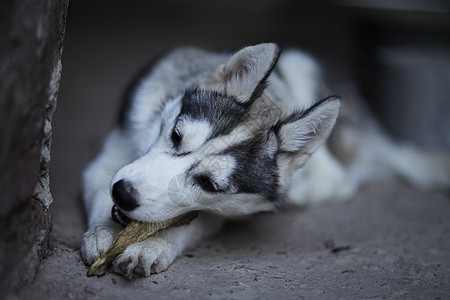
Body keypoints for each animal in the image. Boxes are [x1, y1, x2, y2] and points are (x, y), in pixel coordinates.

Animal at [81, 42, 450, 278]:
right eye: (175, 135)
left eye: (209, 184)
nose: (124, 193)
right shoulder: (112, 157)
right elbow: (100, 187)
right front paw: (102, 233)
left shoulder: (228, 208)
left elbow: (198, 220)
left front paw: (153, 245)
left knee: (339, 179)